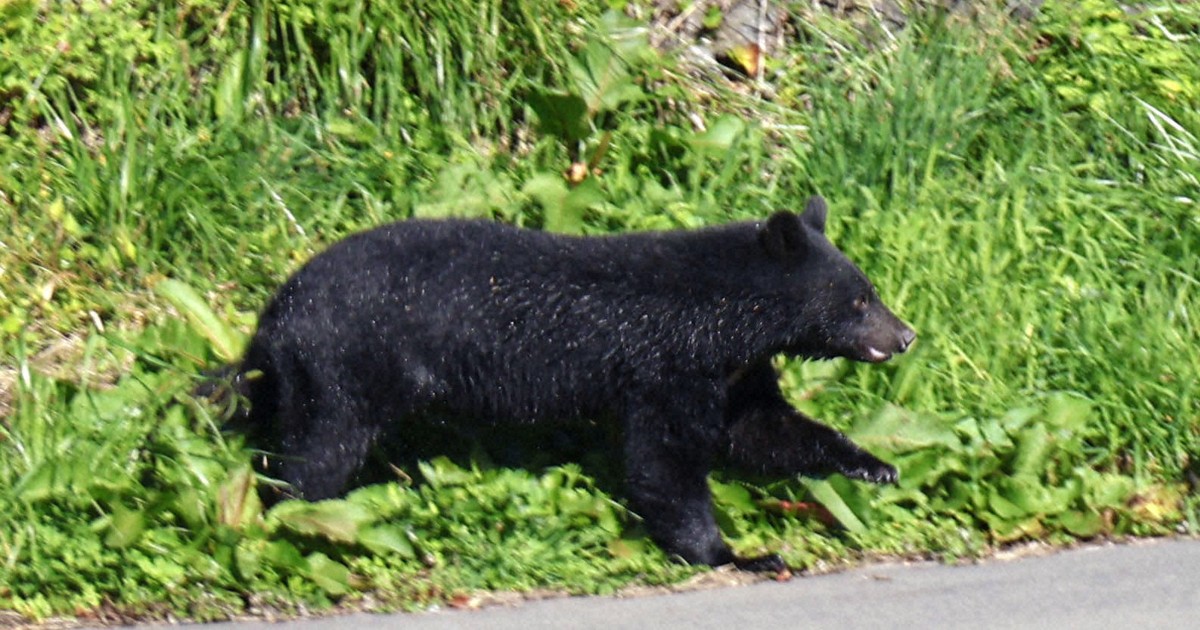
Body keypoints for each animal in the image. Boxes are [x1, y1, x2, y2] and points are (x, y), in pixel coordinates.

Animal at [231, 195, 915, 572]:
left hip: (304, 374)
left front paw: (874, 464)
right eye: (859, 300)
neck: (725, 315)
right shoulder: (667, 365)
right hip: (345, 365)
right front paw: (734, 555)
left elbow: (762, 428)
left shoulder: (732, 372)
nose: (905, 334)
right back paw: (296, 523)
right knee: (319, 453)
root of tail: (273, 315)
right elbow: (664, 461)